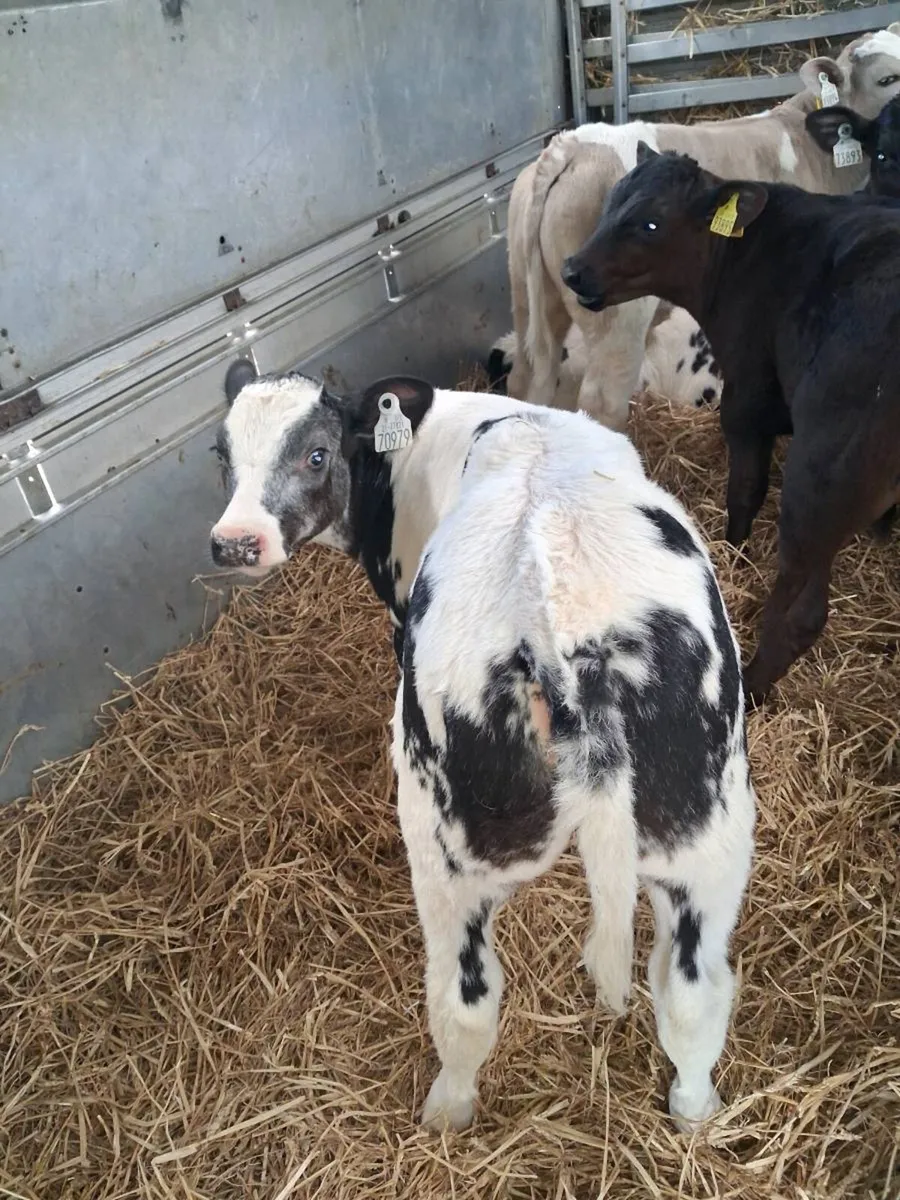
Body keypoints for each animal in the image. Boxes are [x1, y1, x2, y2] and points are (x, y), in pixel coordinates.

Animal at [210, 371, 756, 1134]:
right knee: (692, 994)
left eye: (316, 453)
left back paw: (447, 1109)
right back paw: (695, 1110)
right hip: (706, 827)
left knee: (463, 1004)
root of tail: (560, 633)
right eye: (221, 452)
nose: (236, 542)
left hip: (446, 846)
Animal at [559, 143, 900, 704]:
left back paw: (753, 689)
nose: (572, 269)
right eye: (611, 201)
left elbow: (745, 488)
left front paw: (733, 553)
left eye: (650, 223)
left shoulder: (746, 397)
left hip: (822, 480)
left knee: (802, 613)